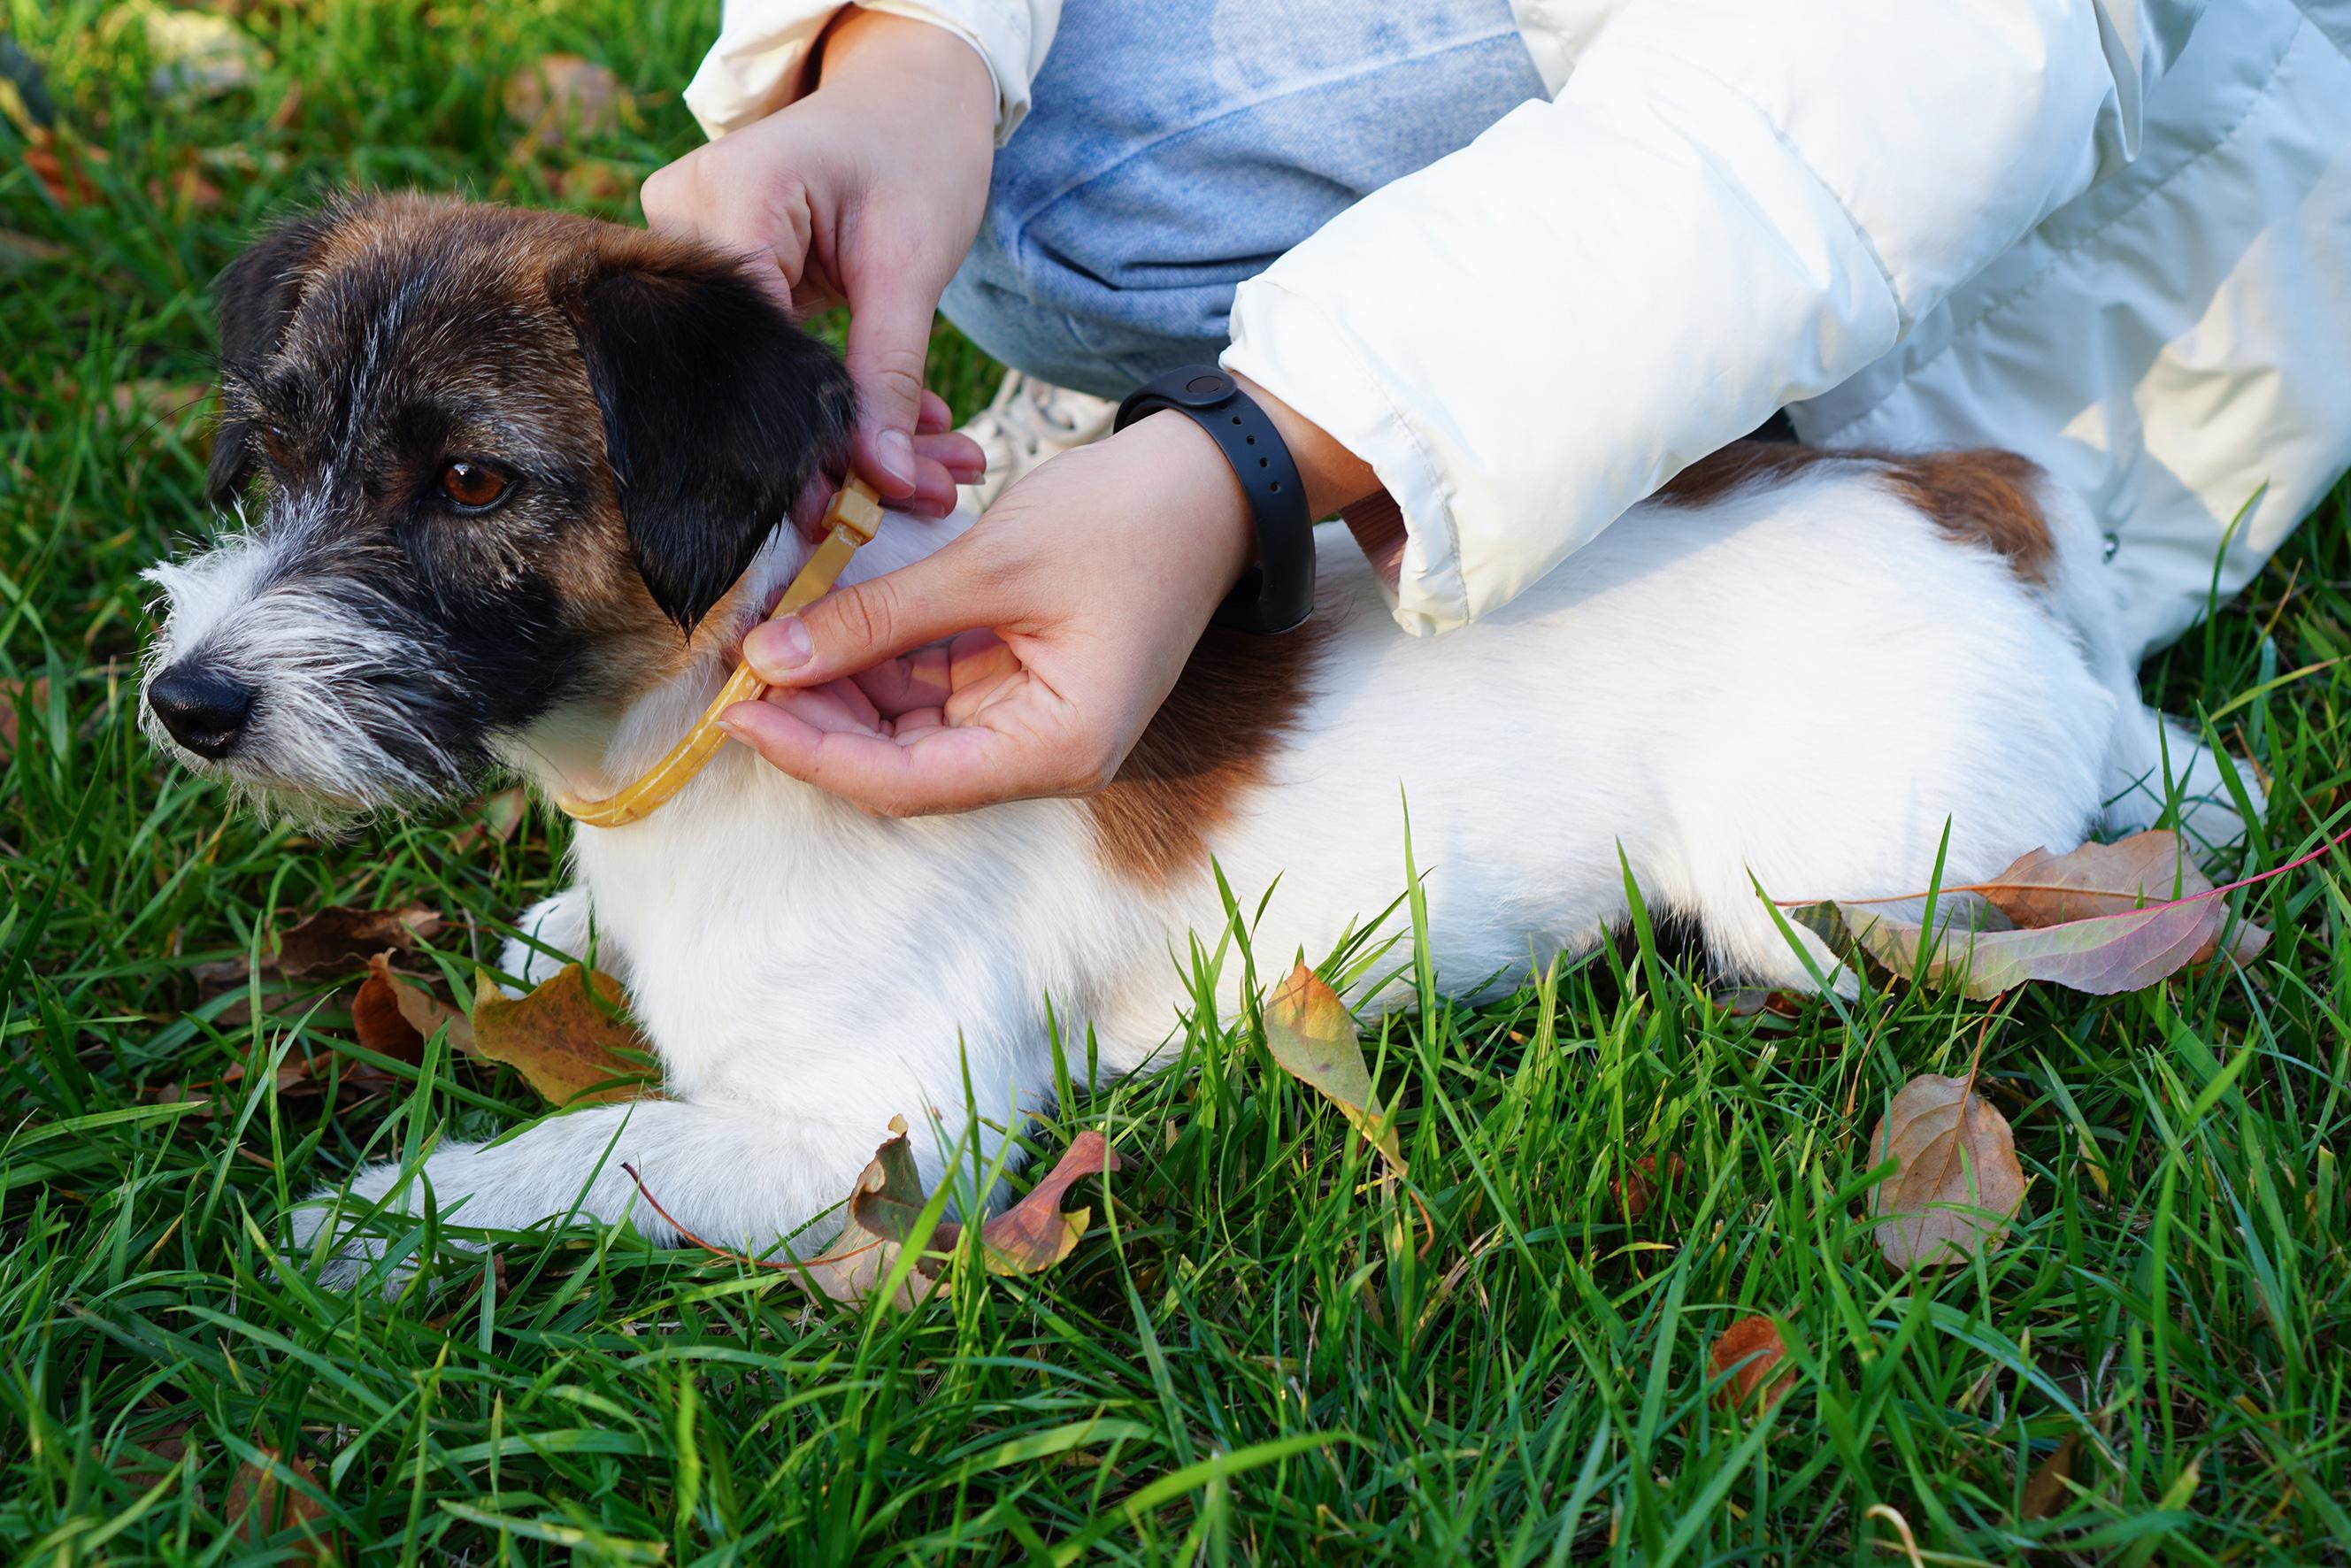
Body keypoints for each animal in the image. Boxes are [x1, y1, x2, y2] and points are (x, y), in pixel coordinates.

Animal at [142, 192, 2238, 1287]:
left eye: (473, 481)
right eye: (279, 441)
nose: (188, 701)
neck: (689, 723)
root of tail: (1972, 495)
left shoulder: (878, 1134)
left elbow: (590, 1149)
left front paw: (374, 1222)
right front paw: (545, 947)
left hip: (1815, 883)